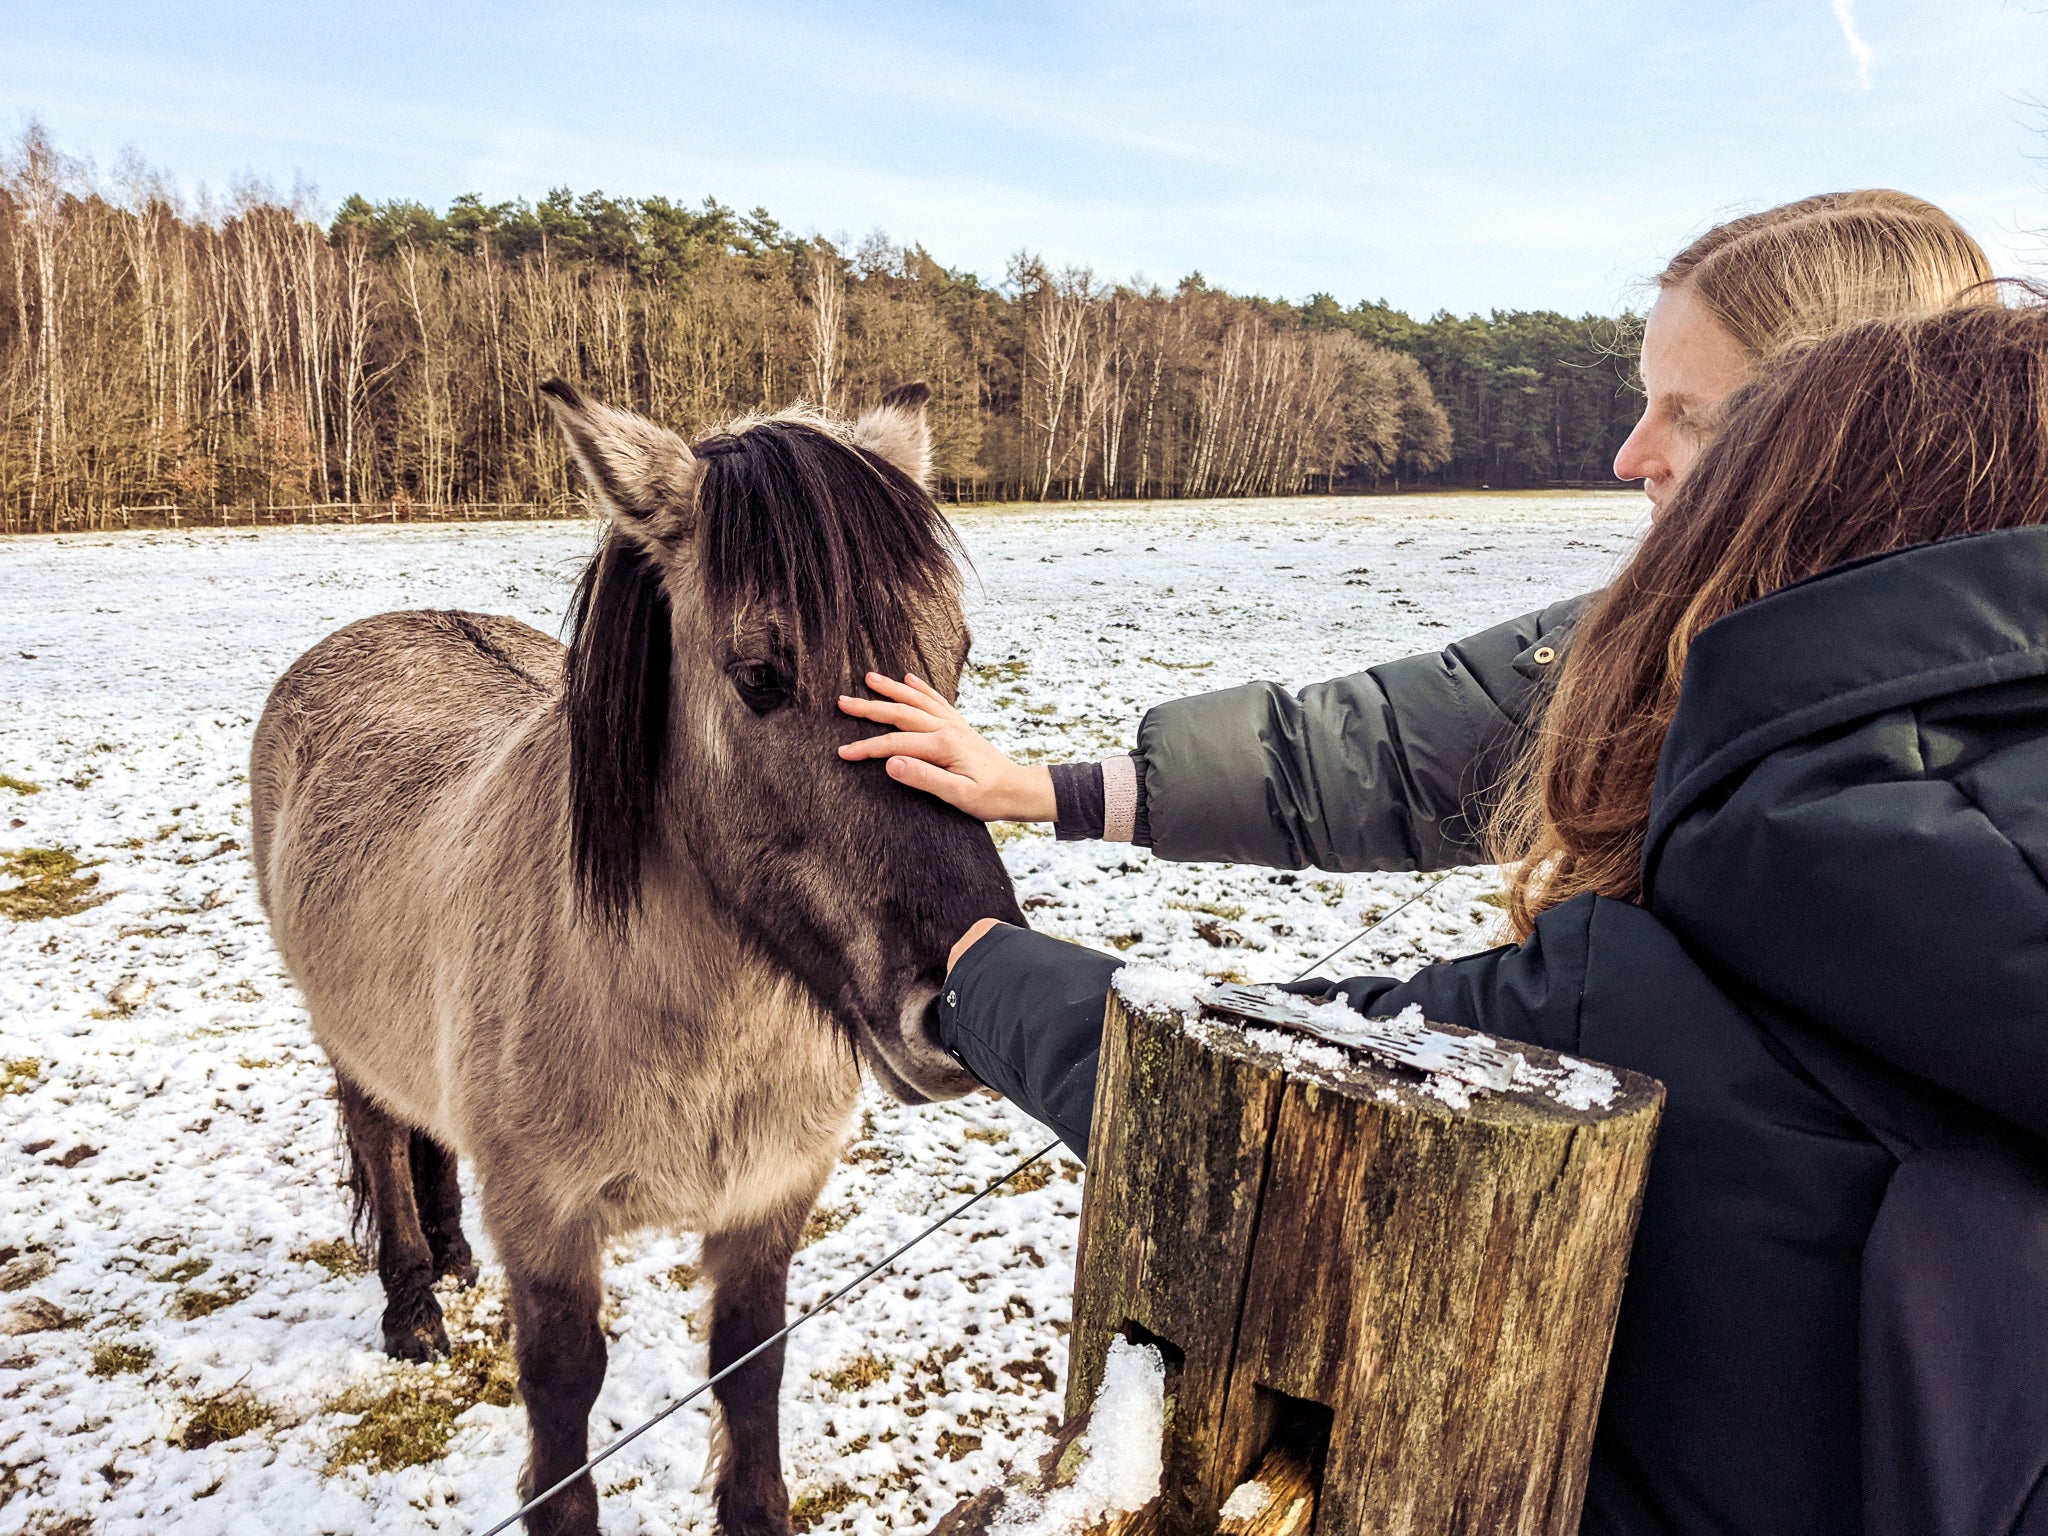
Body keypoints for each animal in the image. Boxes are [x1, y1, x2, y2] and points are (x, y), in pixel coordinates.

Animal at [251, 376, 1019, 1536]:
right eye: (758, 675)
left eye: (957, 657)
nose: (957, 1003)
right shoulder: (549, 1226)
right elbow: (564, 1395)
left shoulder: (766, 1202)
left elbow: (750, 1370)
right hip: (340, 1036)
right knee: (380, 1136)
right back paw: (414, 1307)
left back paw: (453, 1259)